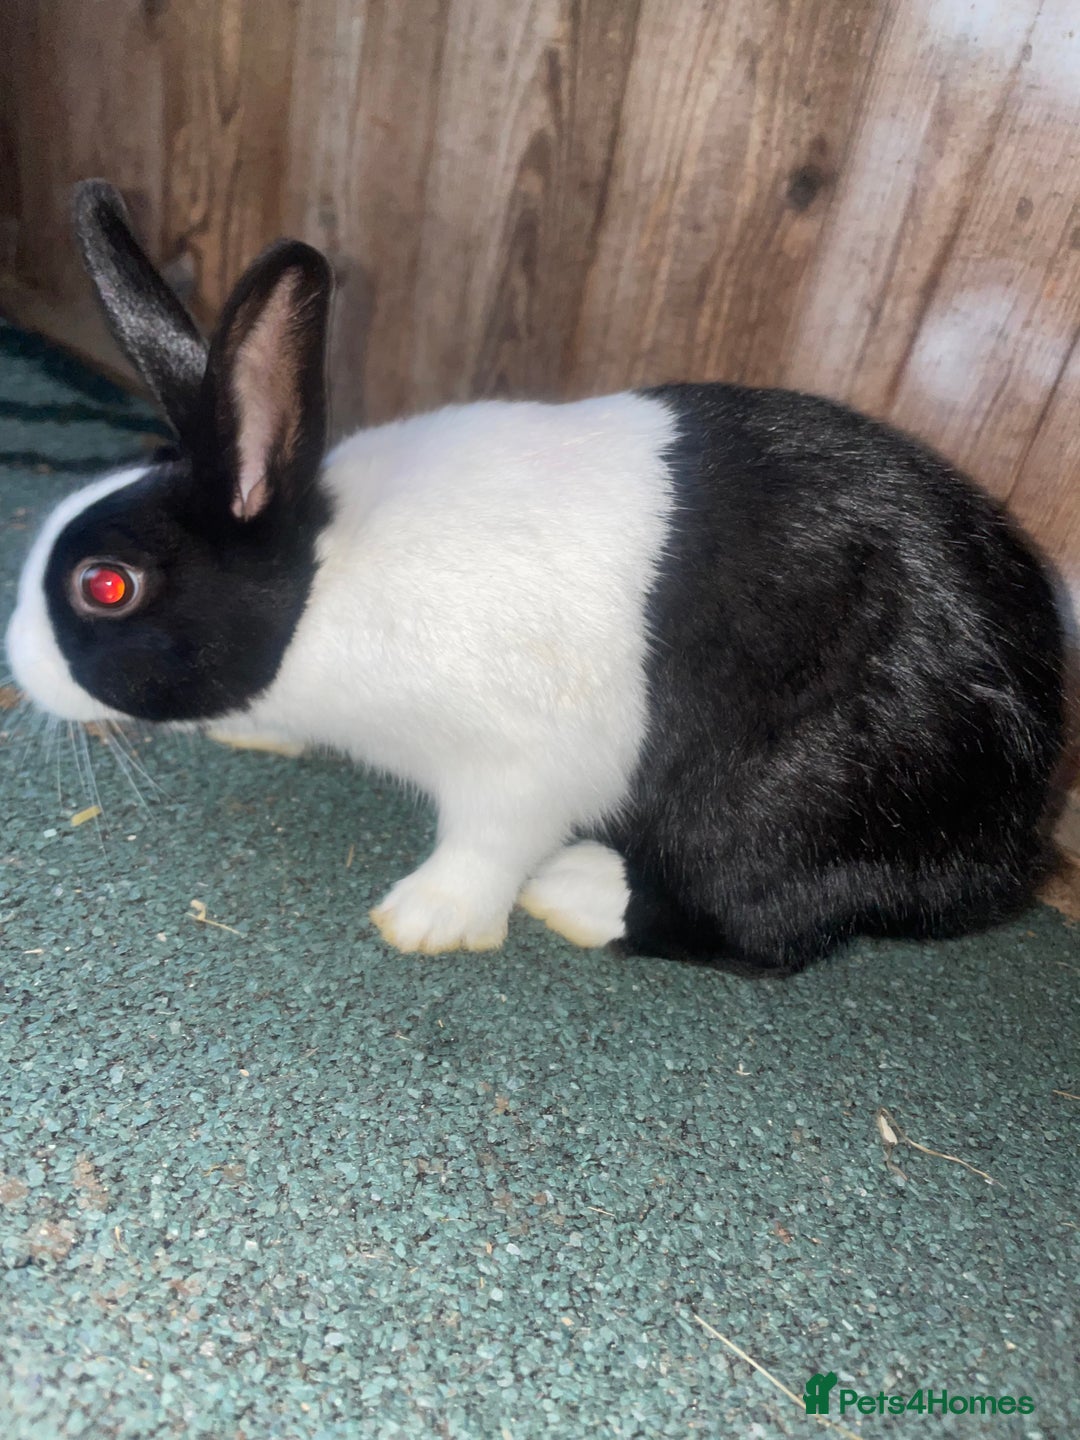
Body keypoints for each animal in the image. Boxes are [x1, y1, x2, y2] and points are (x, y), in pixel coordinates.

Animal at [4, 179, 1067, 974]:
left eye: (106, 586)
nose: (17, 665)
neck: (320, 586)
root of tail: (1015, 826)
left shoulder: (517, 767)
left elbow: (487, 843)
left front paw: (425, 922)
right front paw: (253, 735)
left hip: (783, 803)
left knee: (757, 926)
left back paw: (578, 892)